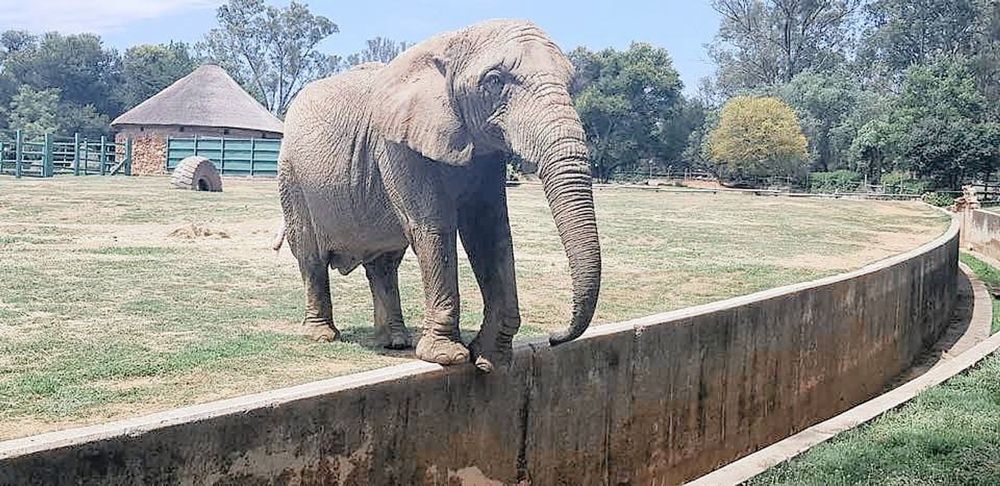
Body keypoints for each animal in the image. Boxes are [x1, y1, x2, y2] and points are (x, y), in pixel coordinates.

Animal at [277, 19, 601, 372]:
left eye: (571, 83)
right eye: (494, 81)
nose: (555, 337)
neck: (450, 43)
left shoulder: (484, 154)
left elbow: (488, 231)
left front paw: (490, 361)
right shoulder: (397, 146)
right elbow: (433, 227)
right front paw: (449, 357)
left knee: (384, 264)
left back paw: (395, 341)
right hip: (292, 177)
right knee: (311, 256)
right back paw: (322, 336)